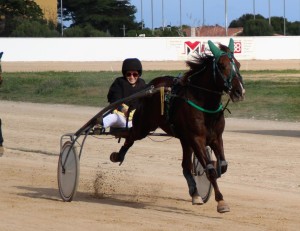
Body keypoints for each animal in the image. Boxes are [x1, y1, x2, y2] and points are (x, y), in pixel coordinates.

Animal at [109, 38, 245, 214]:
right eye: (222, 66)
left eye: (238, 64)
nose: (239, 91)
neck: (204, 104)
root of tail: (151, 85)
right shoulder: (197, 139)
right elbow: (210, 169)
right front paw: (221, 202)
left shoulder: (216, 138)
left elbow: (222, 165)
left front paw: (211, 181)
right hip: (145, 125)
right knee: (131, 136)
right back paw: (118, 156)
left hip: (183, 139)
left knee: (185, 166)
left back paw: (195, 193)